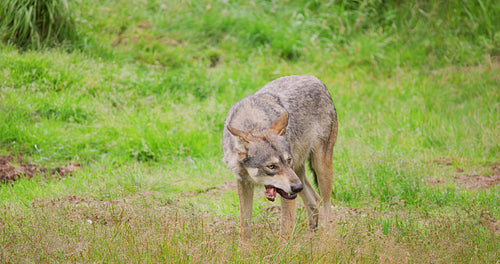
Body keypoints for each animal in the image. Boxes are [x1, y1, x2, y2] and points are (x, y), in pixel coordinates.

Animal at [224, 75, 338, 239]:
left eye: (287, 160)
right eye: (271, 166)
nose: (296, 187)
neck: (252, 124)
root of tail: (314, 78)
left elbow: (285, 229)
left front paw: (284, 246)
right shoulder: (243, 183)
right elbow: (245, 226)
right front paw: (245, 246)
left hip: (318, 170)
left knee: (327, 206)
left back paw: (327, 238)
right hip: (299, 174)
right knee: (315, 201)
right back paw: (311, 237)